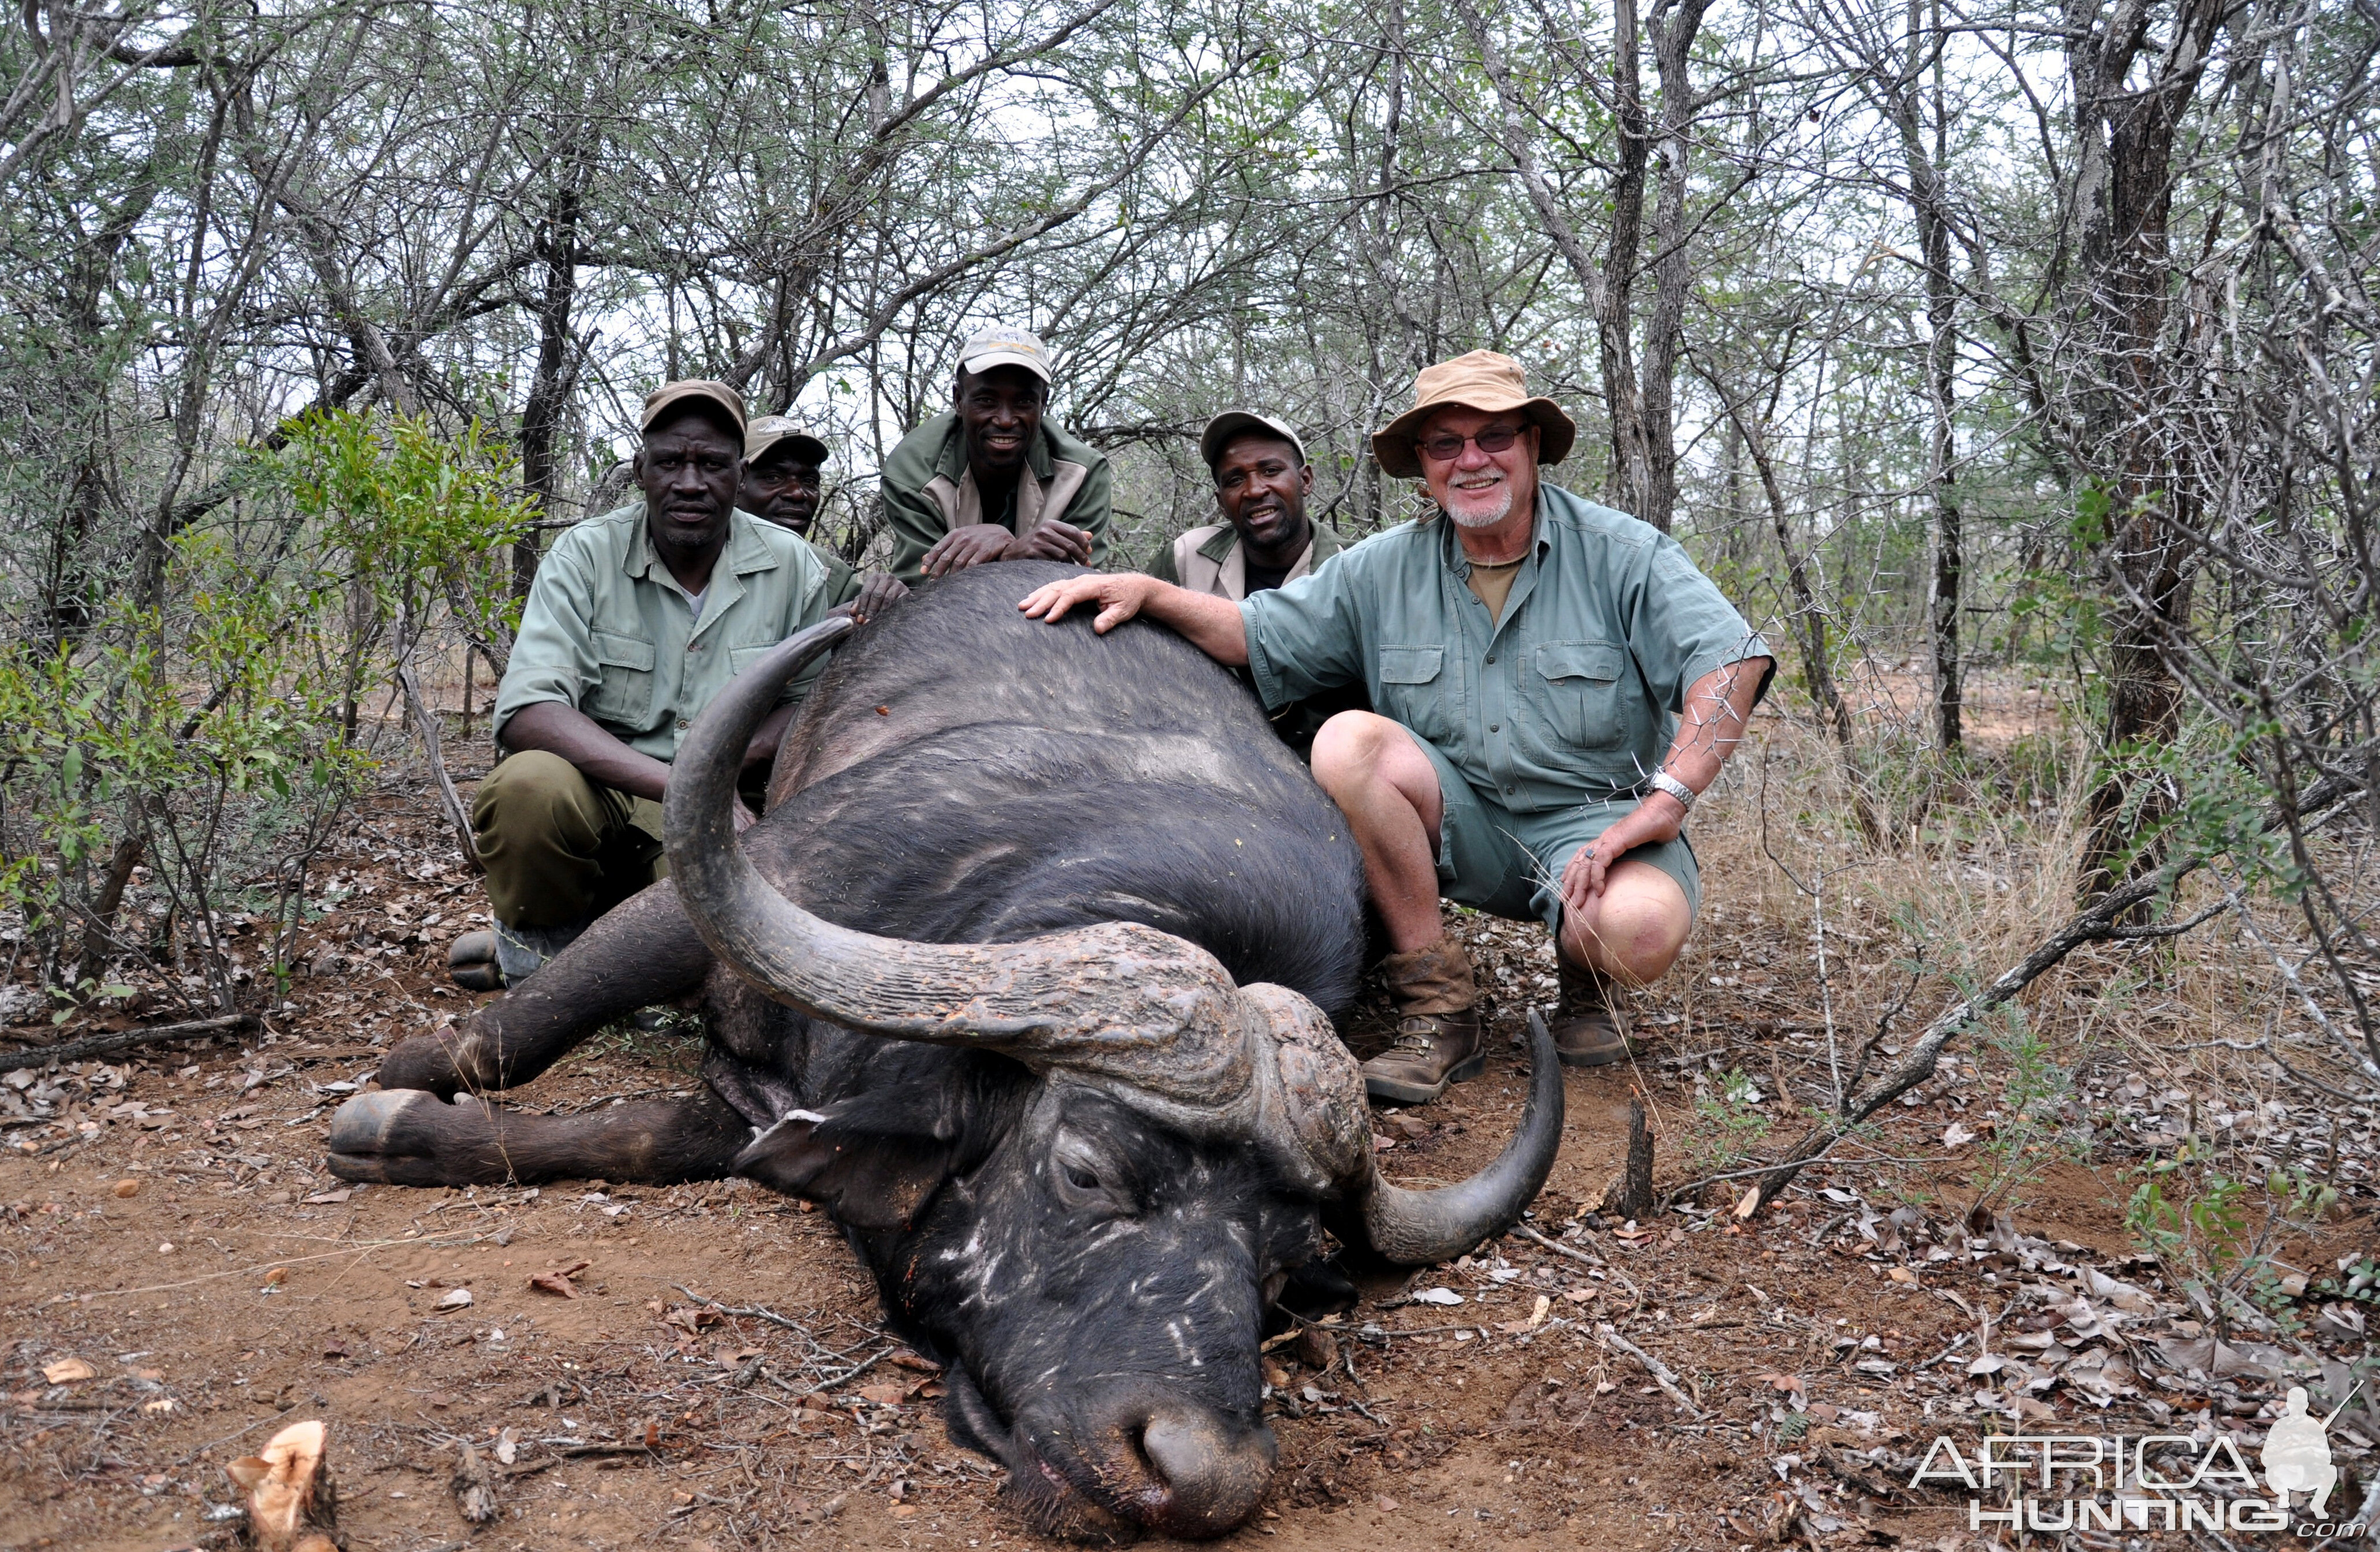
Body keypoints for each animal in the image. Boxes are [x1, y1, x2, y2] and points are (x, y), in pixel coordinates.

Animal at [321, 562, 1561, 1542]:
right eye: (1086, 1172)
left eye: (1284, 1270)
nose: (1202, 1471)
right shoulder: (709, 899)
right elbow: (504, 1040)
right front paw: (395, 1101)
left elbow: (648, 1136)